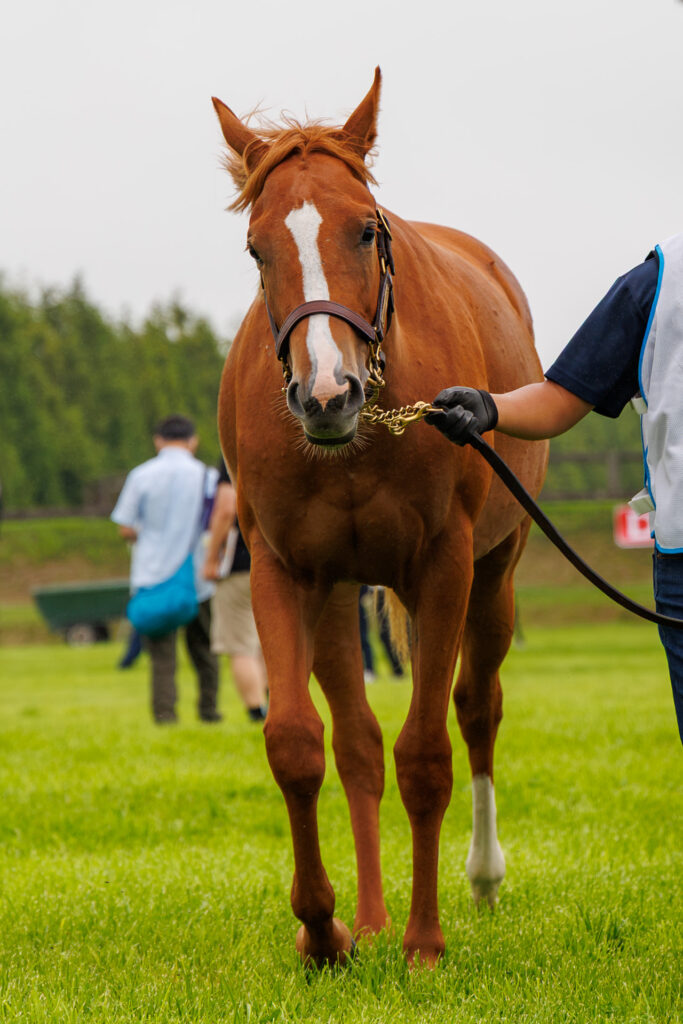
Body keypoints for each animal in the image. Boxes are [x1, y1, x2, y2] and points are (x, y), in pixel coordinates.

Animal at [211, 68, 548, 968]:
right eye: (257, 249)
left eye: (365, 231)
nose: (325, 393)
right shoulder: (281, 567)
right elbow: (298, 744)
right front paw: (322, 927)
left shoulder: (444, 565)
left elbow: (426, 753)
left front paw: (423, 941)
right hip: (335, 594)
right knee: (357, 744)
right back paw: (364, 918)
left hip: (493, 580)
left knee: (476, 709)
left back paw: (478, 879)